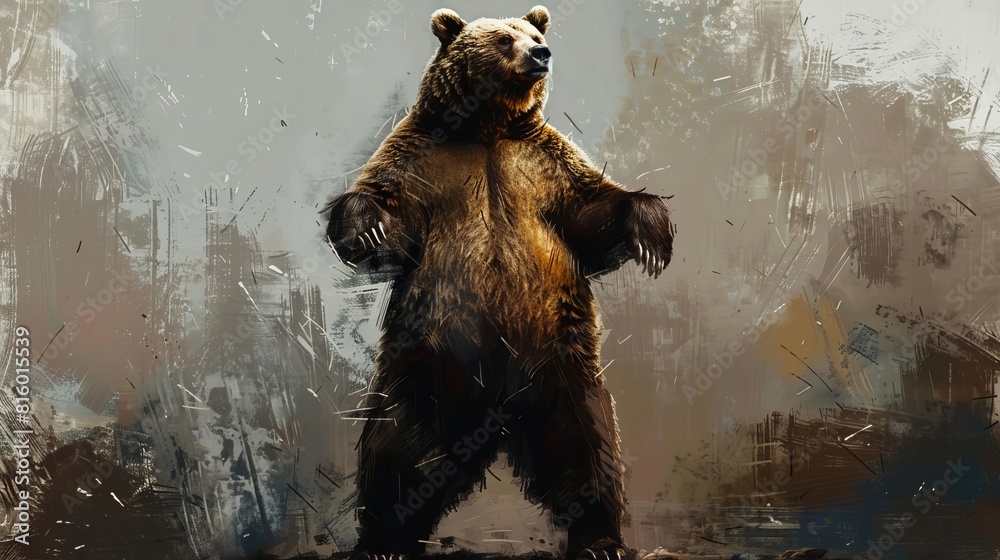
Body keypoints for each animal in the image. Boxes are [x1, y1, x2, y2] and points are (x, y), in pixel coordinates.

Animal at [322, 6, 675, 559]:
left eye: (532, 33)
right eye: (505, 38)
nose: (541, 53)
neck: (487, 130)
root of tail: (497, 410)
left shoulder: (543, 165)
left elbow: (591, 213)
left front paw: (651, 228)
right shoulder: (424, 158)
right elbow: (387, 211)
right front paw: (366, 222)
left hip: (560, 361)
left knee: (586, 442)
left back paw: (599, 539)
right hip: (429, 361)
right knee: (399, 445)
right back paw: (383, 539)